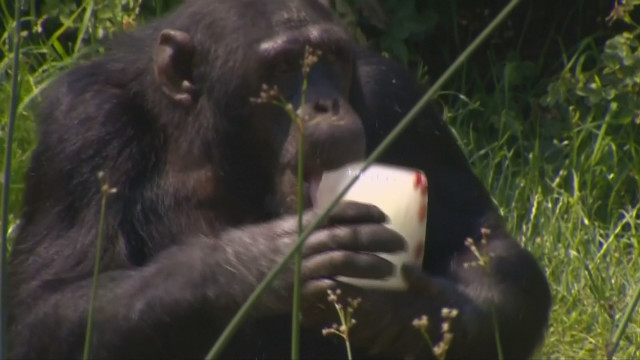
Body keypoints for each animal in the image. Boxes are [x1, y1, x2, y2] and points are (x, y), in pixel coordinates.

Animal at [7, 0, 552, 358]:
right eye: (286, 65)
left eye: (330, 57)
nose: (326, 102)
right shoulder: (83, 127)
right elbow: (51, 302)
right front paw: (257, 262)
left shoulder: (401, 99)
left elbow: (482, 245)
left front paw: (406, 308)